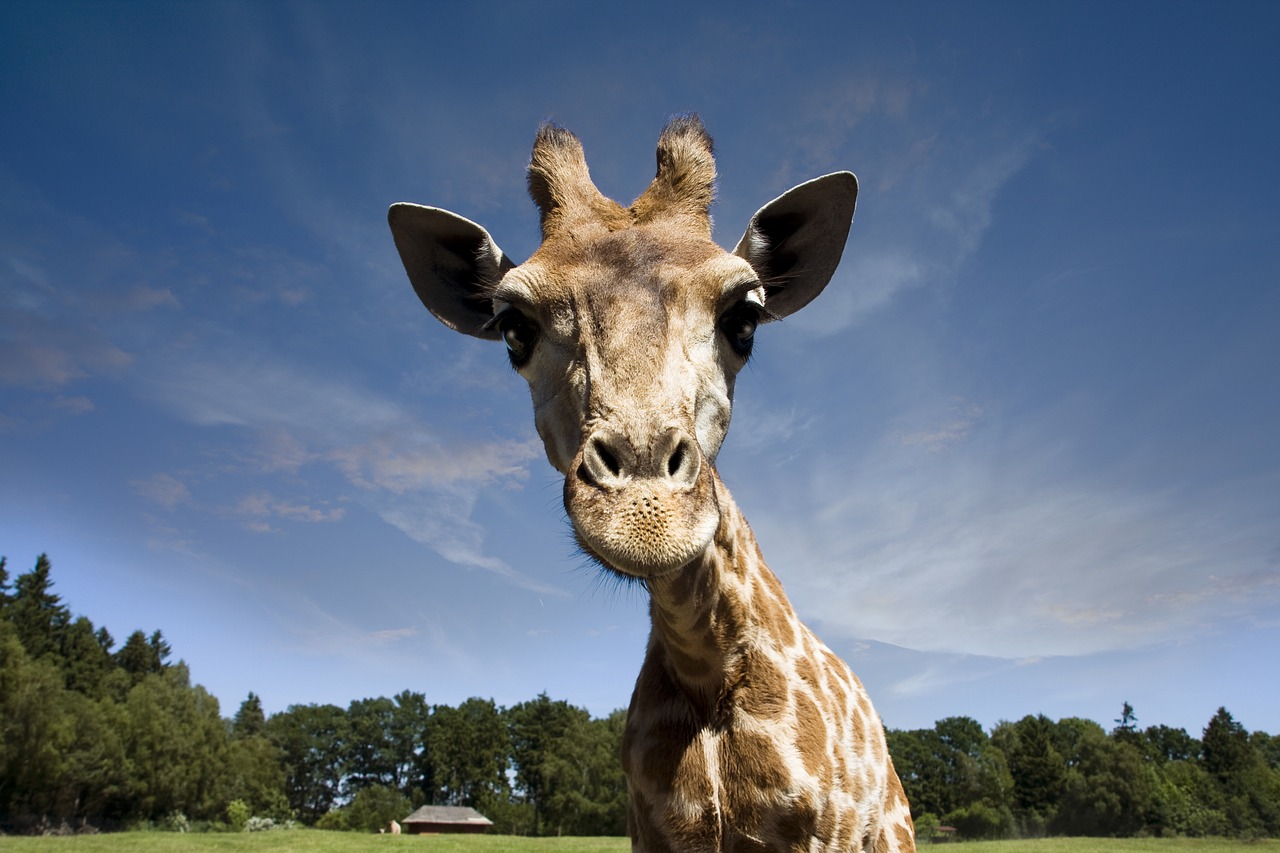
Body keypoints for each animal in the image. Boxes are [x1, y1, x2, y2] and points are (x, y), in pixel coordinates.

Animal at [384, 114, 916, 850]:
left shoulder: (825, 833)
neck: (708, 672)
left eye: (744, 317)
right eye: (513, 327)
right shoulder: (653, 829)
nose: (645, 512)